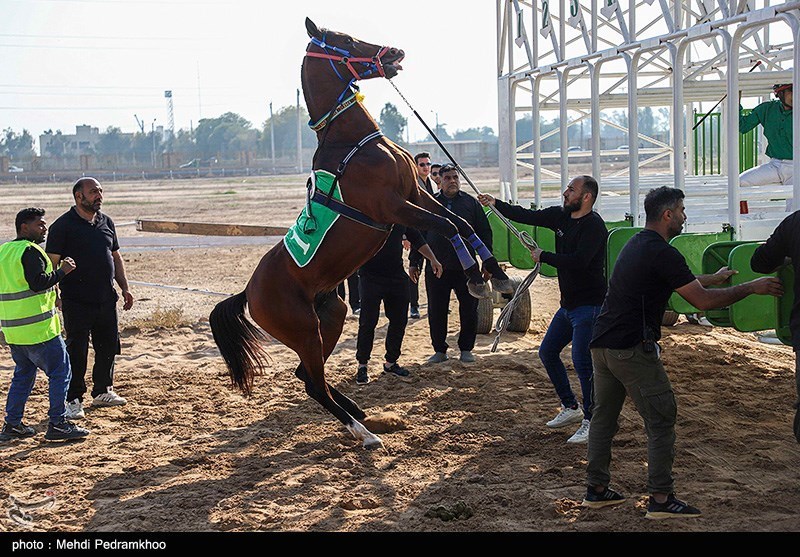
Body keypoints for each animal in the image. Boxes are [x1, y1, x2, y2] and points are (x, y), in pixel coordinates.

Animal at [211, 19, 512, 450]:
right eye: (346, 40)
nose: (396, 52)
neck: (351, 142)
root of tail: (249, 292)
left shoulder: (415, 193)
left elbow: (464, 223)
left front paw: (497, 275)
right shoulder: (394, 206)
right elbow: (450, 225)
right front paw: (474, 277)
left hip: (331, 315)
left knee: (306, 376)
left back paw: (358, 411)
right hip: (304, 330)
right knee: (314, 384)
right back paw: (364, 432)